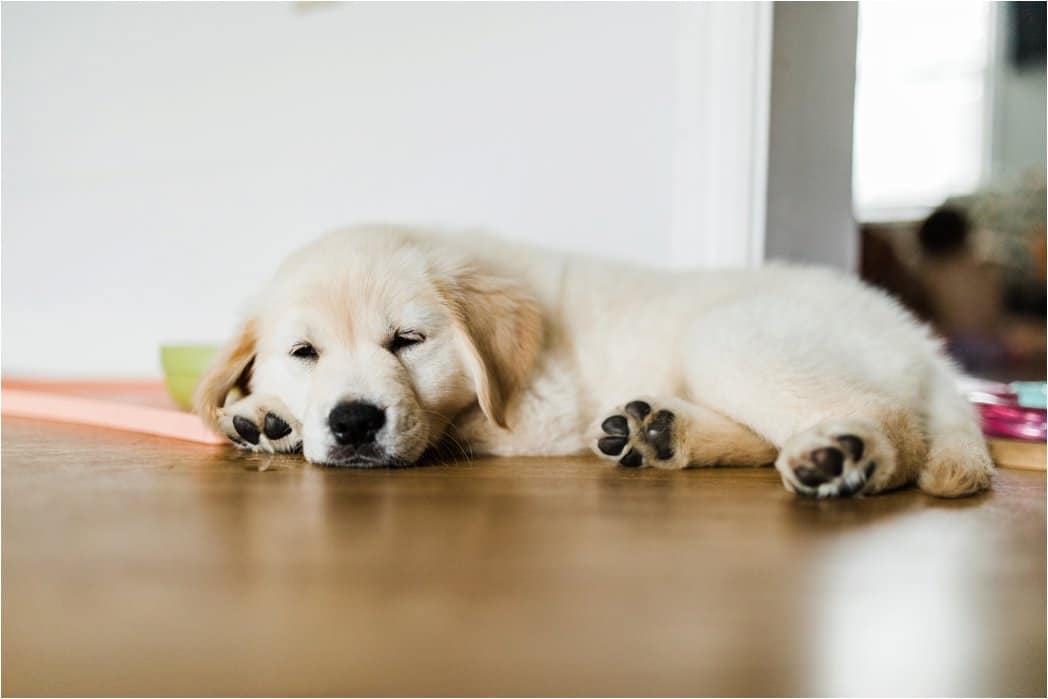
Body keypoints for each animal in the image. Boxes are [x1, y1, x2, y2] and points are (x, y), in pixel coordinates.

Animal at [194, 225, 989, 496]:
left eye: (408, 341)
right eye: (304, 352)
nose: (355, 422)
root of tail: (924, 343)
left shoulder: (535, 411)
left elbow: (458, 425)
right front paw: (262, 415)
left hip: (728, 336)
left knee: (890, 420)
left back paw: (844, 455)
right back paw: (658, 431)